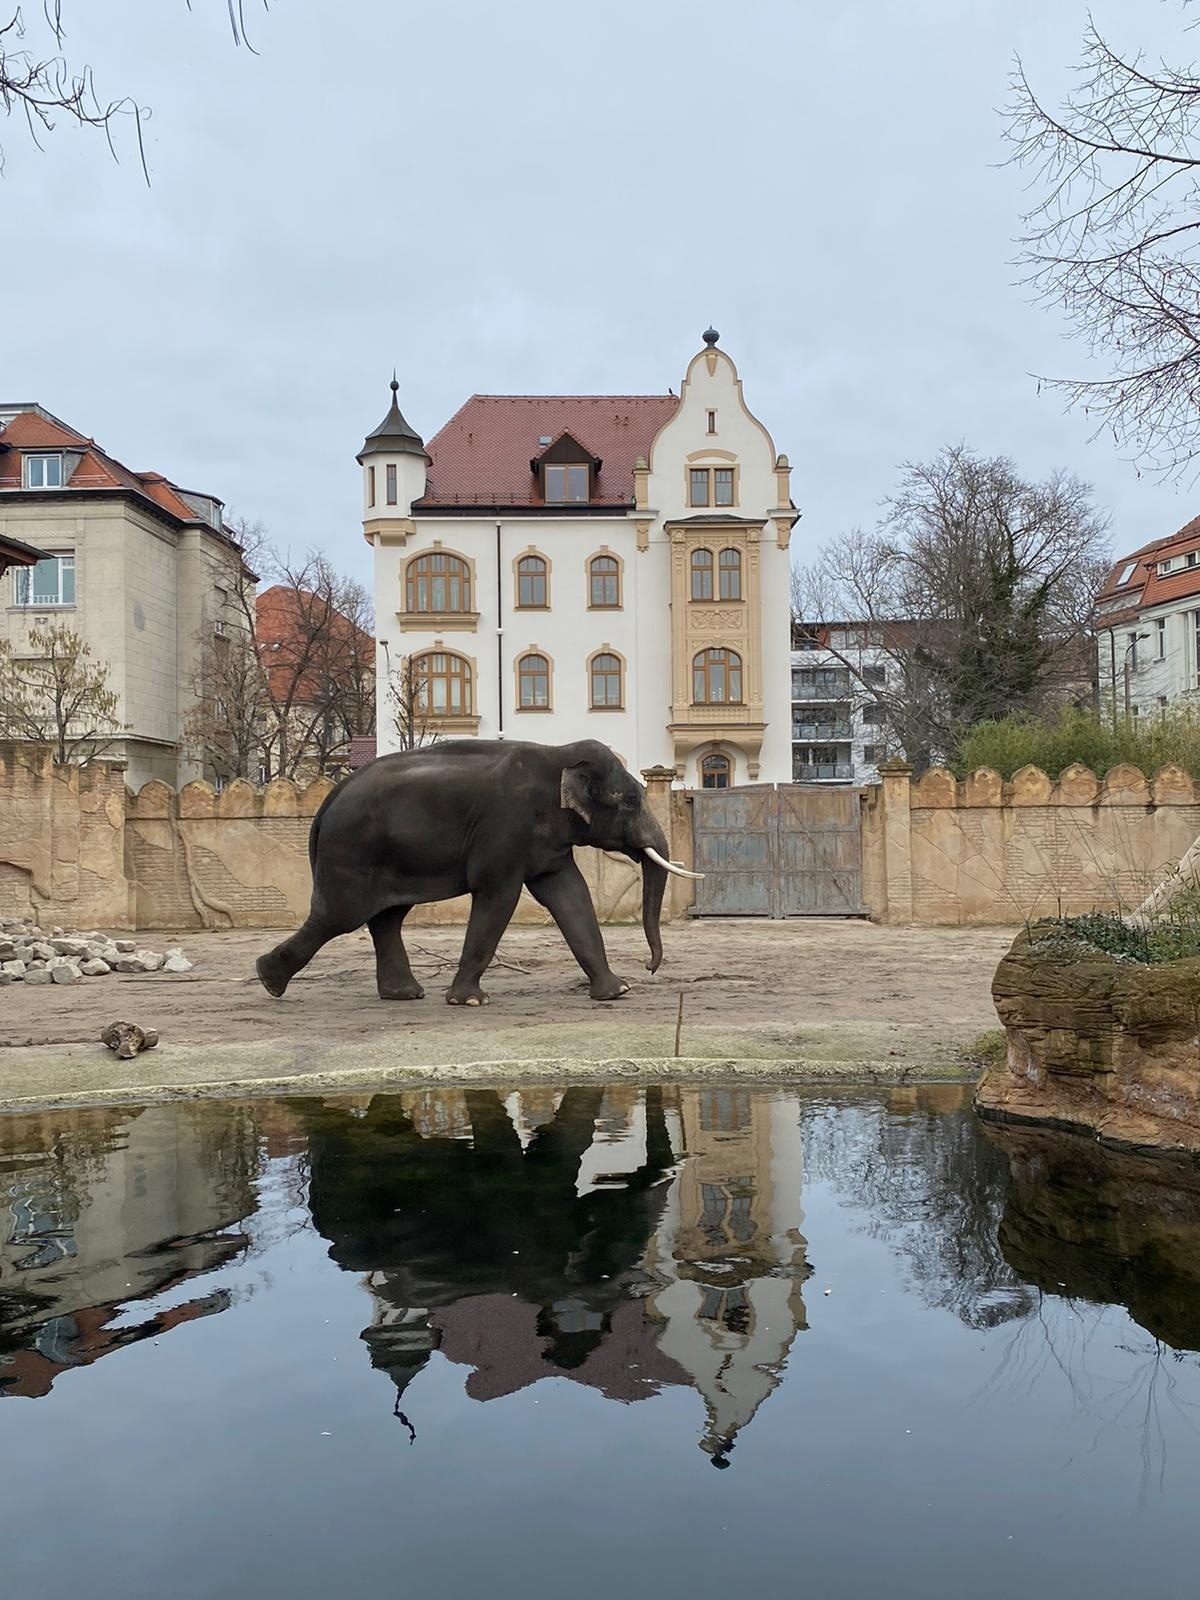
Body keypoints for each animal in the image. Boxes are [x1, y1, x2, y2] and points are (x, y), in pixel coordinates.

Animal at [256, 736, 704, 998]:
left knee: (387, 917)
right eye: (629, 800)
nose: (648, 968)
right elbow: (498, 896)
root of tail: (327, 802)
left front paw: (616, 991)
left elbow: (570, 895)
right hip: (351, 851)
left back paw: (405, 994)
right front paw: (469, 1000)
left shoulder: (546, 843)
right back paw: (270, 980)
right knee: (338, 916)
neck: (558, 753)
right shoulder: (504, 829)